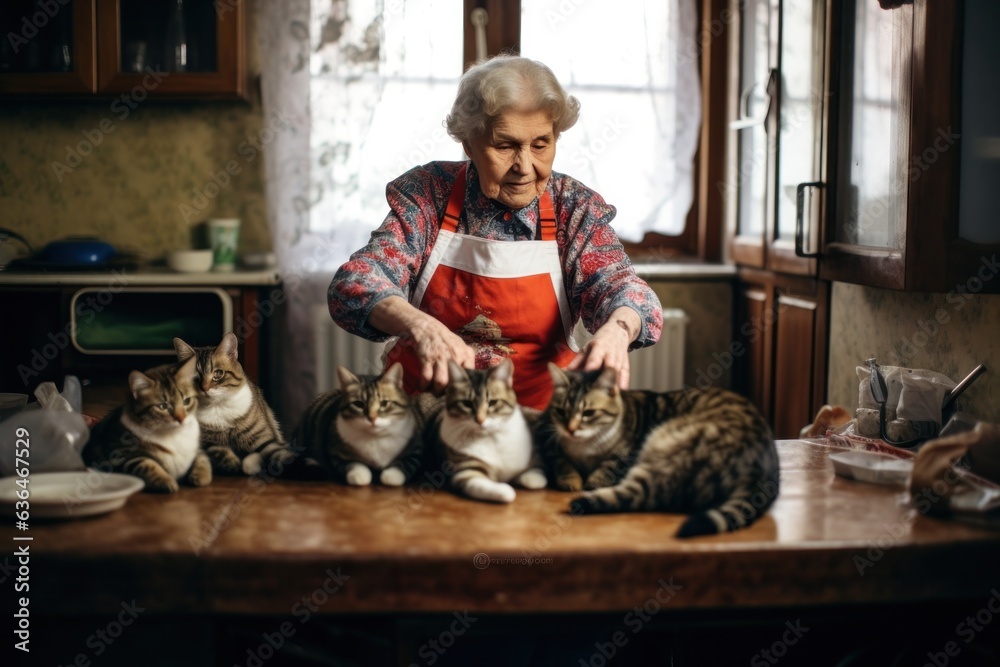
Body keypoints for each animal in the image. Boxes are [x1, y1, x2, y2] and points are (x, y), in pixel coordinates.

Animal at [82, 358, 213, 494]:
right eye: (163, 406)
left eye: (186, 401)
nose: (182, 419)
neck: (173, 433)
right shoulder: (121, 452)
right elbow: (147, 465)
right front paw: (167, 481)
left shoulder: (197, 449)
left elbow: (202, 459)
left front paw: (201, 477)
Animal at [175, 334, 292, 474]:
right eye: (193, 378)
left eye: (218, 374)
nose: (204, 388)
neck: (217, 408)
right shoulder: (207, 442)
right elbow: (221, 453)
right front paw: (234, 464)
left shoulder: (264, 438)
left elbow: (279, 453)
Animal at [292, 366, 428, 486]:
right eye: (359, 404)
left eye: (384, 403)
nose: (372, 418)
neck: (375, 438)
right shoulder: (335, 451)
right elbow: (354, 466)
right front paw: (359, 476)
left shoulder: (416, 449)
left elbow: (403, 466)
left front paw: (390, 476)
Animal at [432, 362, 548, 504]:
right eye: (467, 404)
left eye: (493, 402)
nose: (480, 420)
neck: (489, 437)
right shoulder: (467, 472)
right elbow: (501, 491)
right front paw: (507, 488)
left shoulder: (534, 458)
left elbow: (536, 478)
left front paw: (521, 478)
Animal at [544, 362, 776, 540]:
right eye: (560, 412)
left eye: (588, 413)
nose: (570, 429)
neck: (585, 447)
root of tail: (760, 472)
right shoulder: (554, 448)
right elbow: (563, 463)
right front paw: (572, 480)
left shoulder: (626, 454)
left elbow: (605, 469)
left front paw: (590, 483)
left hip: (666, 449)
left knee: (639, 494)